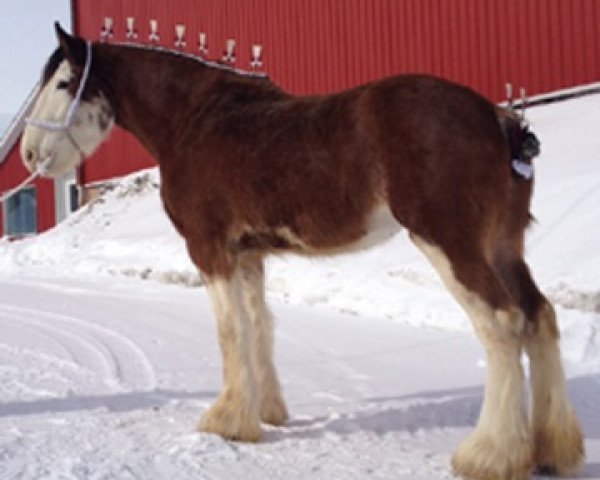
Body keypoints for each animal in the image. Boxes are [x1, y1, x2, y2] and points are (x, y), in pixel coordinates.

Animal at [22, 23, 580, 480]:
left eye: (64, 83)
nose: (29, 154)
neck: (195, 120)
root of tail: (499, 119)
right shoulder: (248, 254)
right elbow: (258, 325)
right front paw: (265, 412)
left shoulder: (210, 249)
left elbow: (230, 330)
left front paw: (226, 420)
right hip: (503, 246)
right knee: (539, 317)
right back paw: (551, 450)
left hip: (451, 244)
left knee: (502, 323)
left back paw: (489, 455)